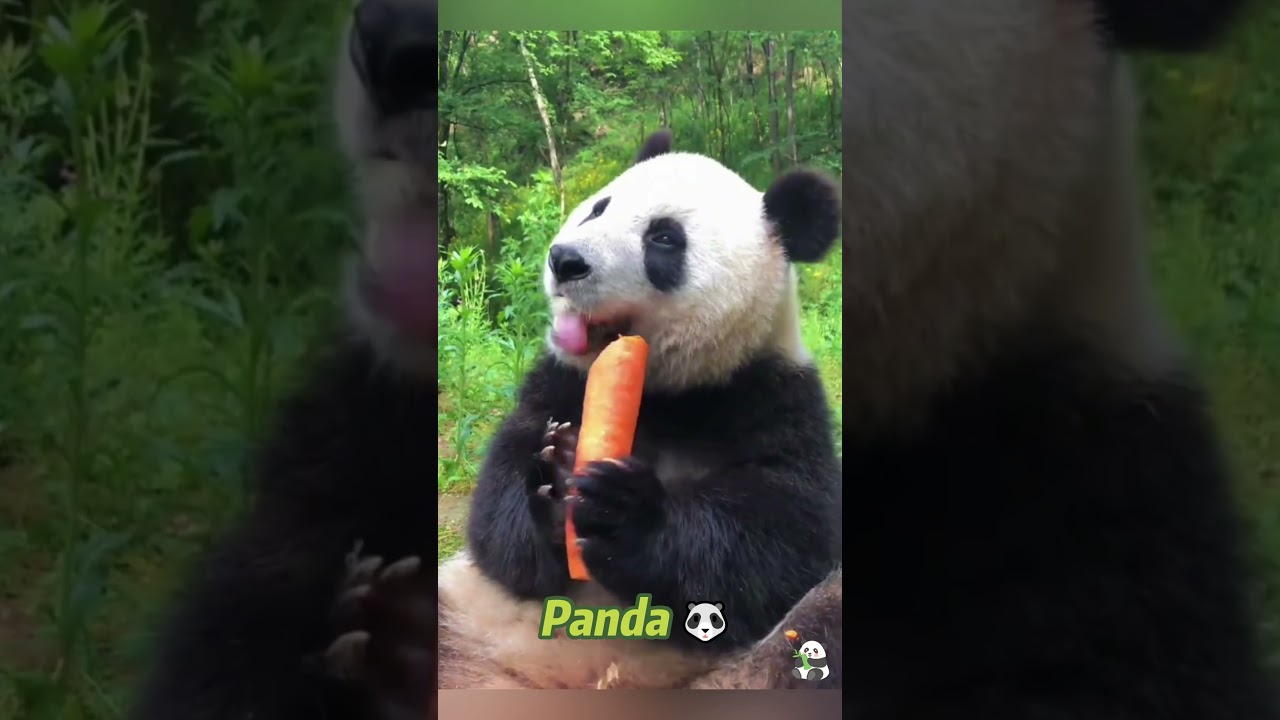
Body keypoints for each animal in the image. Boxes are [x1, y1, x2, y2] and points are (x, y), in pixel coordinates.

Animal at [435, 126, 844, 689]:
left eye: (664, 238)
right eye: (598, 209)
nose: (565, 260)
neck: (664, 392)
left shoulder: (777, 399)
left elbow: (782, 537)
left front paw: (622, 509)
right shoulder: (559, 382)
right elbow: (497, 520)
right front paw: (555, 475)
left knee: (820, 620)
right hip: (466, 623)